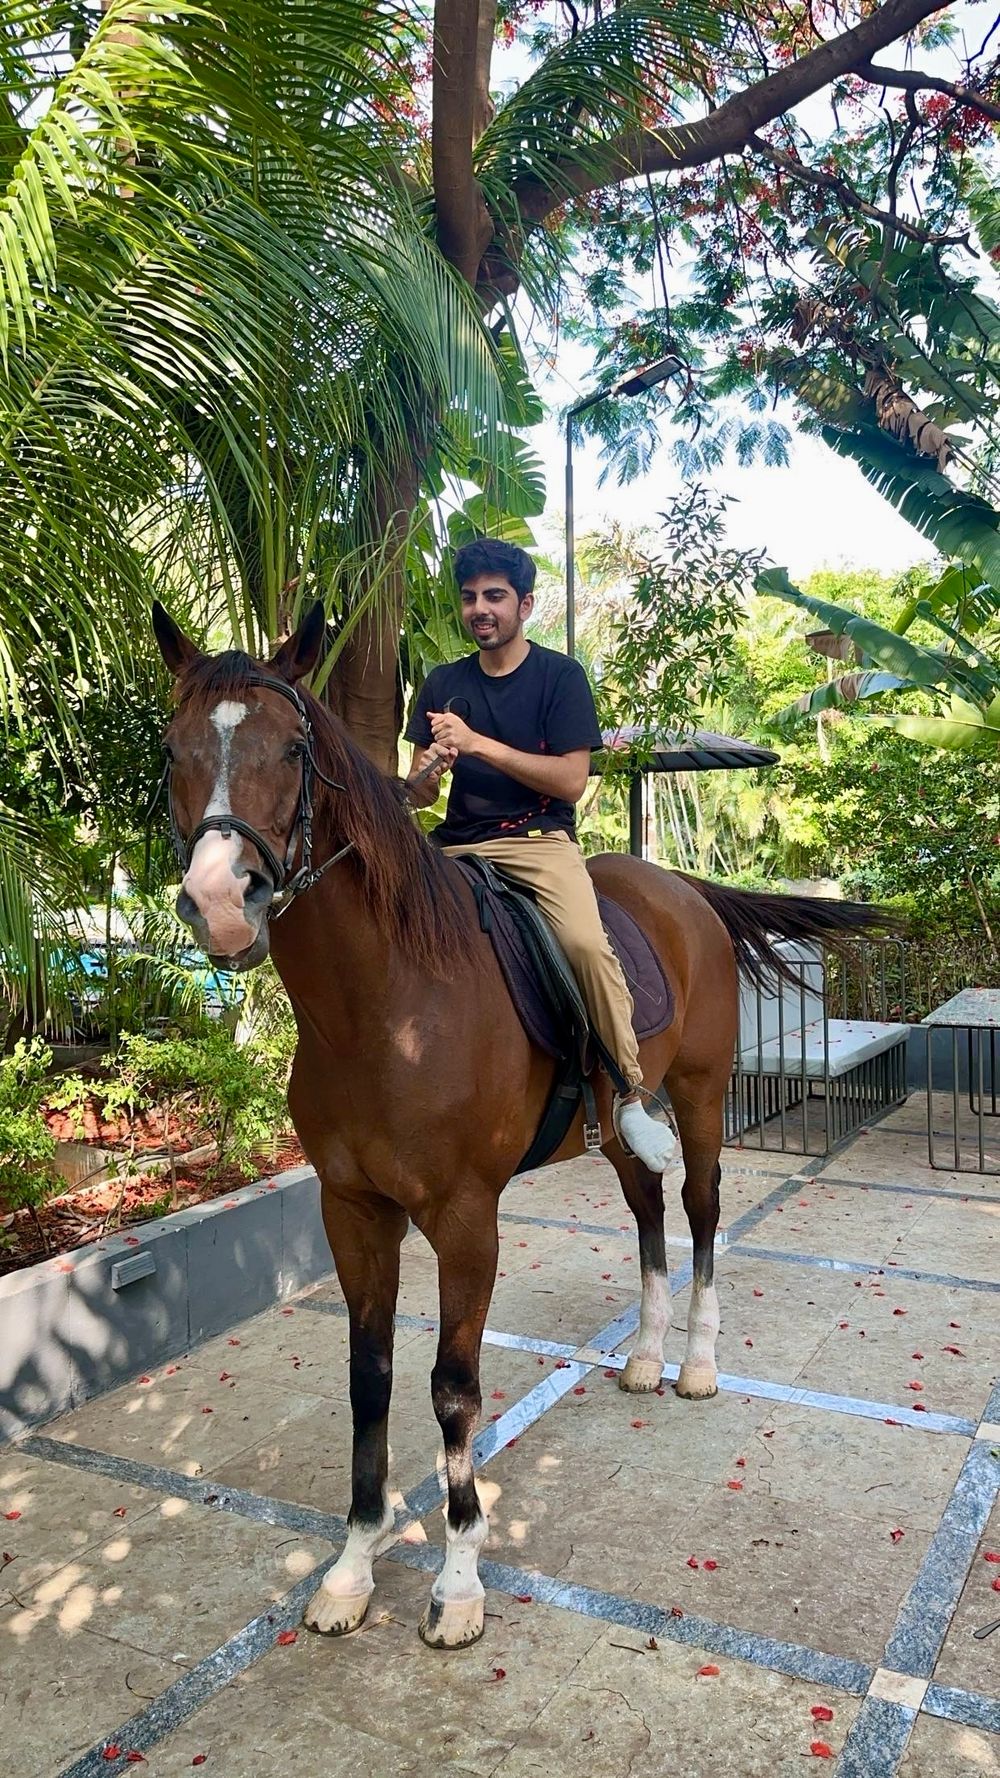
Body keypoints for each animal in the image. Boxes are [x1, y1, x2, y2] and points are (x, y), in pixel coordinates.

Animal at [149, 600, 879, 1649]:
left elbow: (454, 1388)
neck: (384, 1007)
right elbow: (369, 1375)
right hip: (619, 1124)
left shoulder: (465, 1216)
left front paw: (458, 1582)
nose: (219, 900)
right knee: (649, 1211)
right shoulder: (350, 1210)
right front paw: (352, 1567)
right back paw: (645, 1357)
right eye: (173, 750)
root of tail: (683, 889)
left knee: (700, 1211)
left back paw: (697, 1363)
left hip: (702, 1096)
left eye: (292, 747)